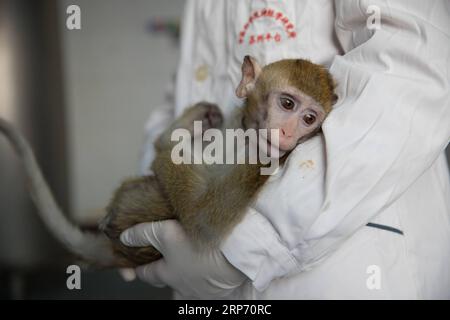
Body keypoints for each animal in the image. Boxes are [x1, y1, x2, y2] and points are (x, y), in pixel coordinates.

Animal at [0, 55, 336, 268]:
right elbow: (165, 143)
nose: (287, 132)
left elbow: (202, 220)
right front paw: (203, 116)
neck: (243, 136)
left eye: (309, 119)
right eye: (287, 103)